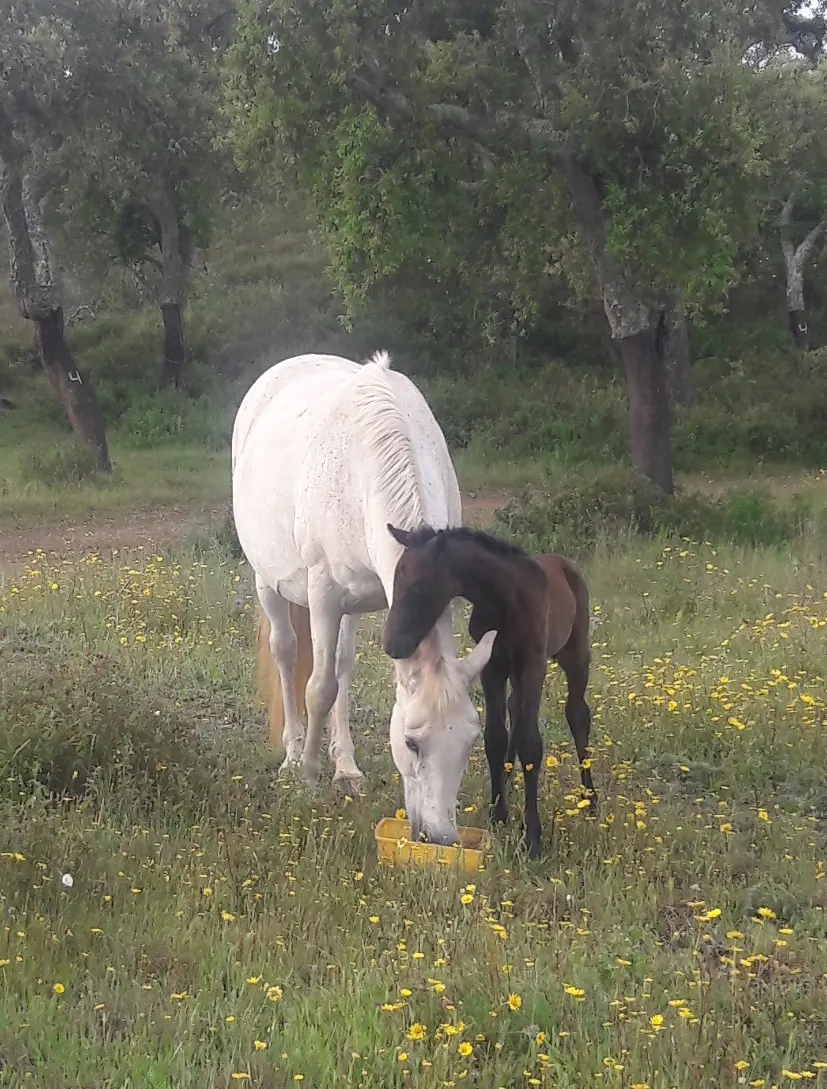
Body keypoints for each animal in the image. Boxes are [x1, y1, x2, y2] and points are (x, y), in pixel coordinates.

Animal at [231, 351, 497, 846]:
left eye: (471, 740)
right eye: (411, 743)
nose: (440, 838)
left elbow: (338, 676)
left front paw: (340, 771)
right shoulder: (322, 596)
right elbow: (317, 689)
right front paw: (309, 778)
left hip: (351, 608)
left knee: (342, 664)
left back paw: (346, 766)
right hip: (269, 583)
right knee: (286, 654)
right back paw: (292, 755)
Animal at [382, 525, 594, 859]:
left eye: (418, 586)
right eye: (395, 579)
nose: (391, 646)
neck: (505, 598)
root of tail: (564, 562)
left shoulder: (532, 664)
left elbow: (531, 744)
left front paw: (533, 839)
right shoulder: (492, 667)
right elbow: (495, 737)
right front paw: (498, 814)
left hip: (575, 653)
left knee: (577, 714)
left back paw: (591, 798)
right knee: (515, 711)